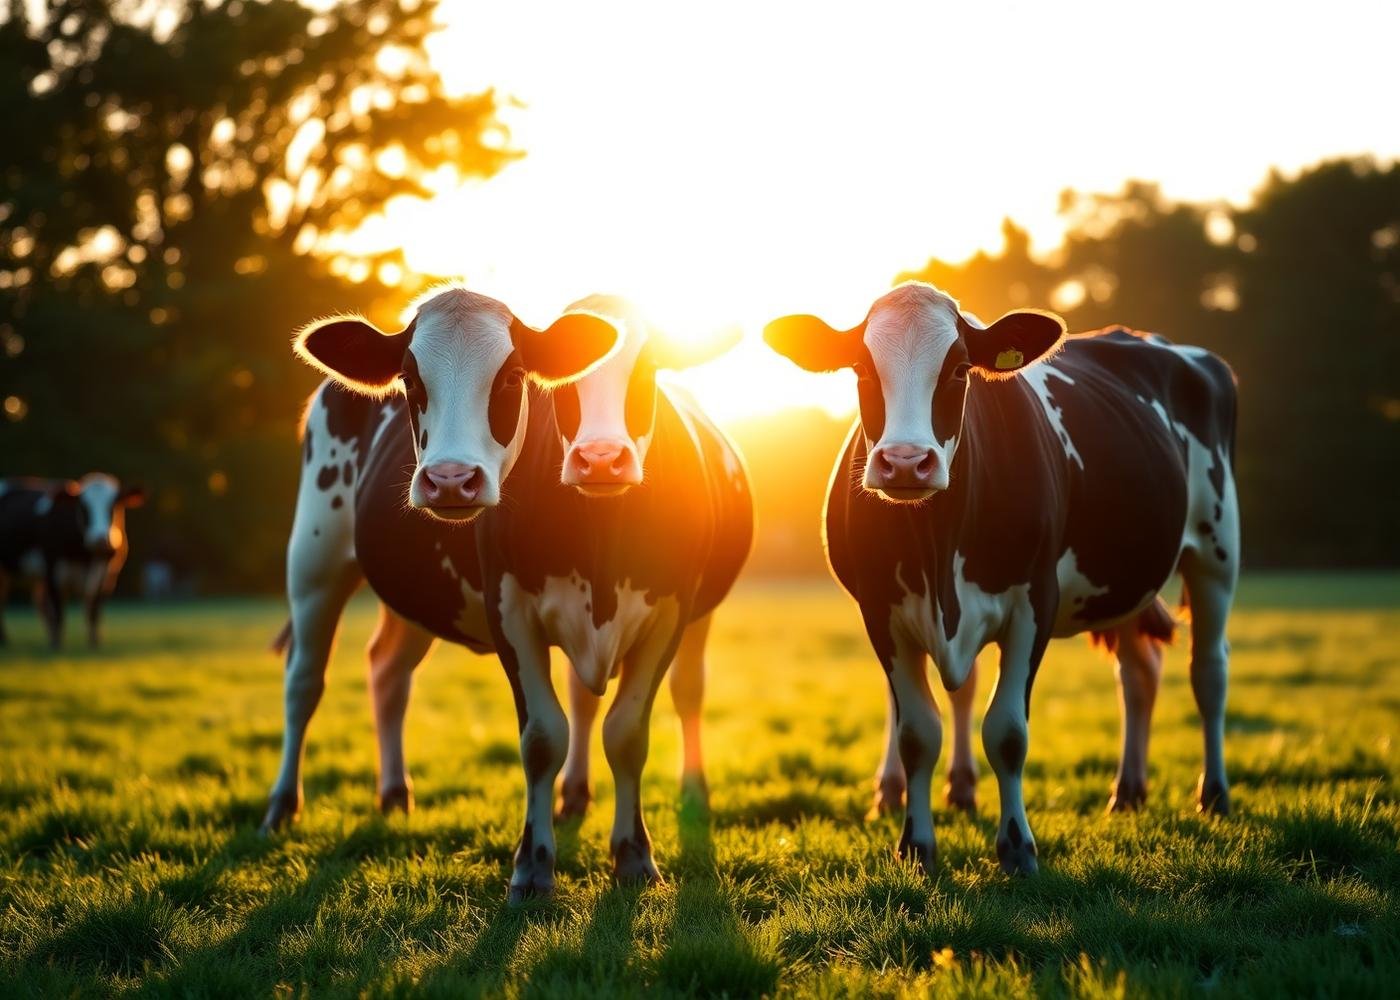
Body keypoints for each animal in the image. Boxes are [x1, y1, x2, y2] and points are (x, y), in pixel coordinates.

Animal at [0, 474, 145, 649]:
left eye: (114, 505)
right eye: (83, 507)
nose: (100, 540)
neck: (86, 558)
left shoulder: (107, 576)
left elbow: (94, 611)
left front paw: (94, 644)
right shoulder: (52, 570)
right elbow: (59, 611)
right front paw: (57, 646)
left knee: (39, 603)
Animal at [263, 287, 751, 902]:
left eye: (649, 370)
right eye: (410, 379)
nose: (450, 479)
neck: (601, 538)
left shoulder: (671, 612)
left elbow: (626, 733)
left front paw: (633, 855)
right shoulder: (509, 610)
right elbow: (543, 736)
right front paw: (533, 865)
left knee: (390, 670)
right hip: (315, 557)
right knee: (305, 680)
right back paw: (283, 806)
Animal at [764, 281, 1238, 876]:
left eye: (960, 369)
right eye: (861, 369)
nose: (905, 462)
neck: (937, 550)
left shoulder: (1034, 601)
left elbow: (1007, 732)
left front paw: (1017, 847)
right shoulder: (880, 610)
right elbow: (917, 731)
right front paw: (917, 845)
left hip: (1217, 550)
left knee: (1208, 672)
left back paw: (1214, 793)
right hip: (1126, 577)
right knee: (1139, 672)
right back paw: (1127, 791)